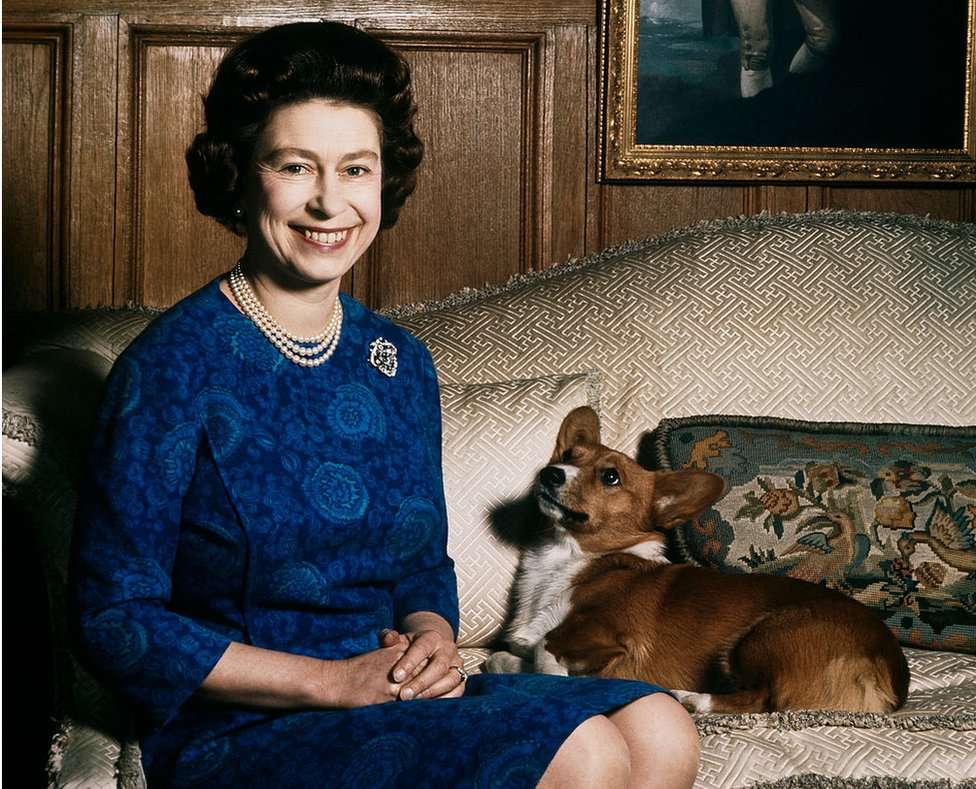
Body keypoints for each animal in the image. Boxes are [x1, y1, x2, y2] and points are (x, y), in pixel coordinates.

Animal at [492, 406, 912, 716]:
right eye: (568, 456)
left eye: (610, 477)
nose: (550, 473)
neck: (567, 558)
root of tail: (891, 676)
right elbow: (503, 657)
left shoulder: (610, 636)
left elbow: (546, 650)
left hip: (761, 634)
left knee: (763, 699)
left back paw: (691, 698)